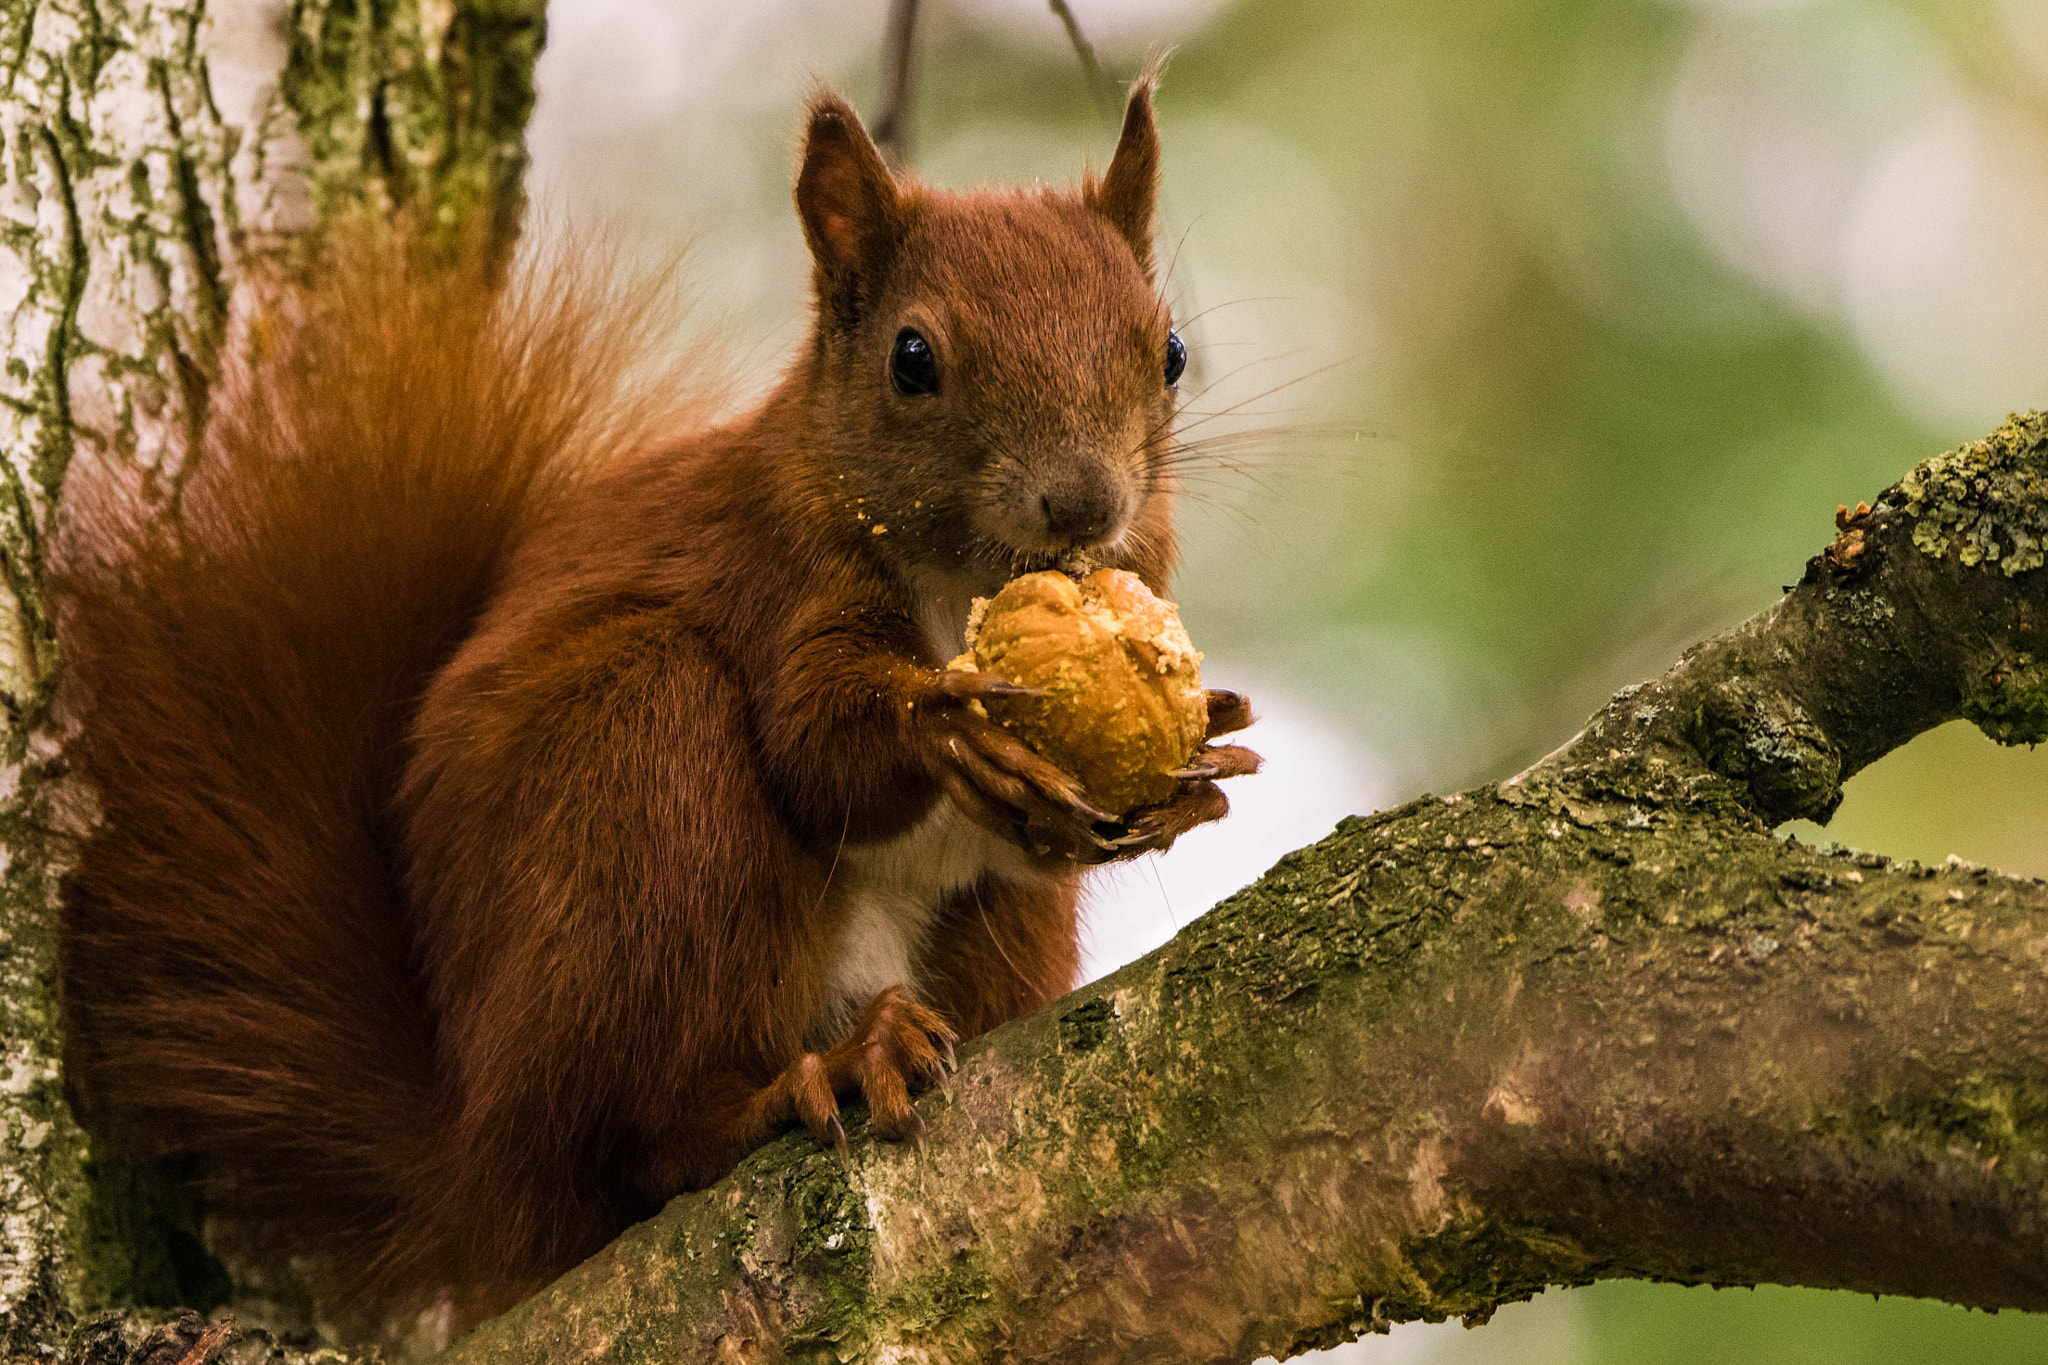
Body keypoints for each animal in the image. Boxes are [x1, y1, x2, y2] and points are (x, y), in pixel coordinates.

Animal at [56, 77, 1253, 1326]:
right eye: (911, 358)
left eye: (1169, 349)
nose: (1083, 503)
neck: (961, 577)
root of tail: (476, 1159)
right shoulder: (777, 573)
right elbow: (818, 751)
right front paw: (948, 729)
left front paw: (1194, 773)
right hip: (640, 771)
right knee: (641, 1143)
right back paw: (809, 1080)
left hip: (987, 939)